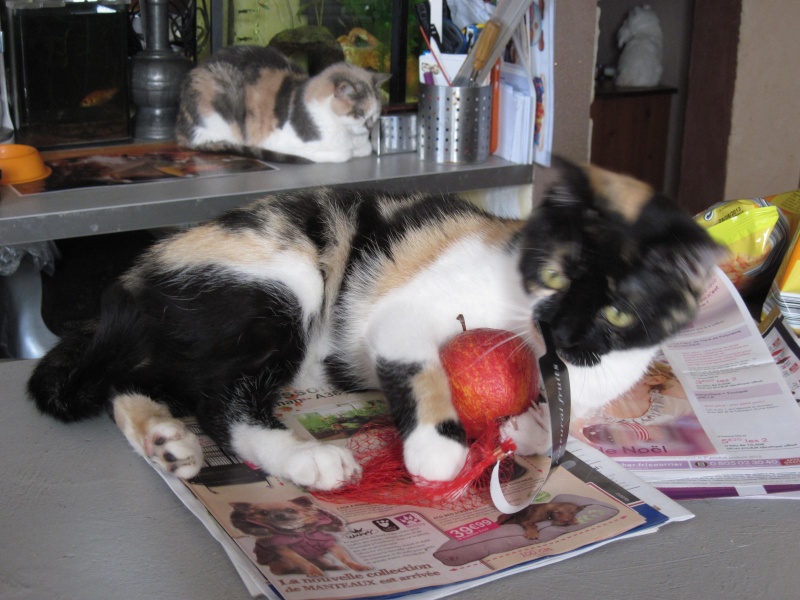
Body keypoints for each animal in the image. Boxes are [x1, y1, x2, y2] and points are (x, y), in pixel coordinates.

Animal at [28, 161, 720, 492]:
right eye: (552, 276)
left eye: (619, 310)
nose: (569, 338)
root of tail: (136, 276)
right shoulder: (404, 313)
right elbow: (421, 363)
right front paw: (438, 449)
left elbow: (571, 415)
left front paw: (526, 426)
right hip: (283, 281)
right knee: (221, 402)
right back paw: (307, 459)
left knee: (132, 382)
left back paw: (166, 440)